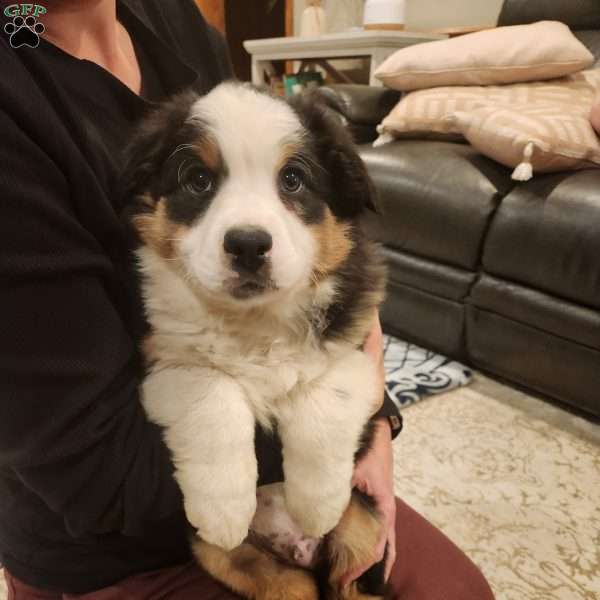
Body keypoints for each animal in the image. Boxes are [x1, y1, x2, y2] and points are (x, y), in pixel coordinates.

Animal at [123, 81, 390, 600]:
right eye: (198, 180)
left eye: (292, 180)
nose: (248, 245)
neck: (256, 321)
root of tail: (300, 554)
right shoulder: (167, 359)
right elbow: (214, 398)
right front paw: (224, 510)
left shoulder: (354, 351)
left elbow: (323, 402)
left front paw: (317, 504)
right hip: (235, 563)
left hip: (365, 527)